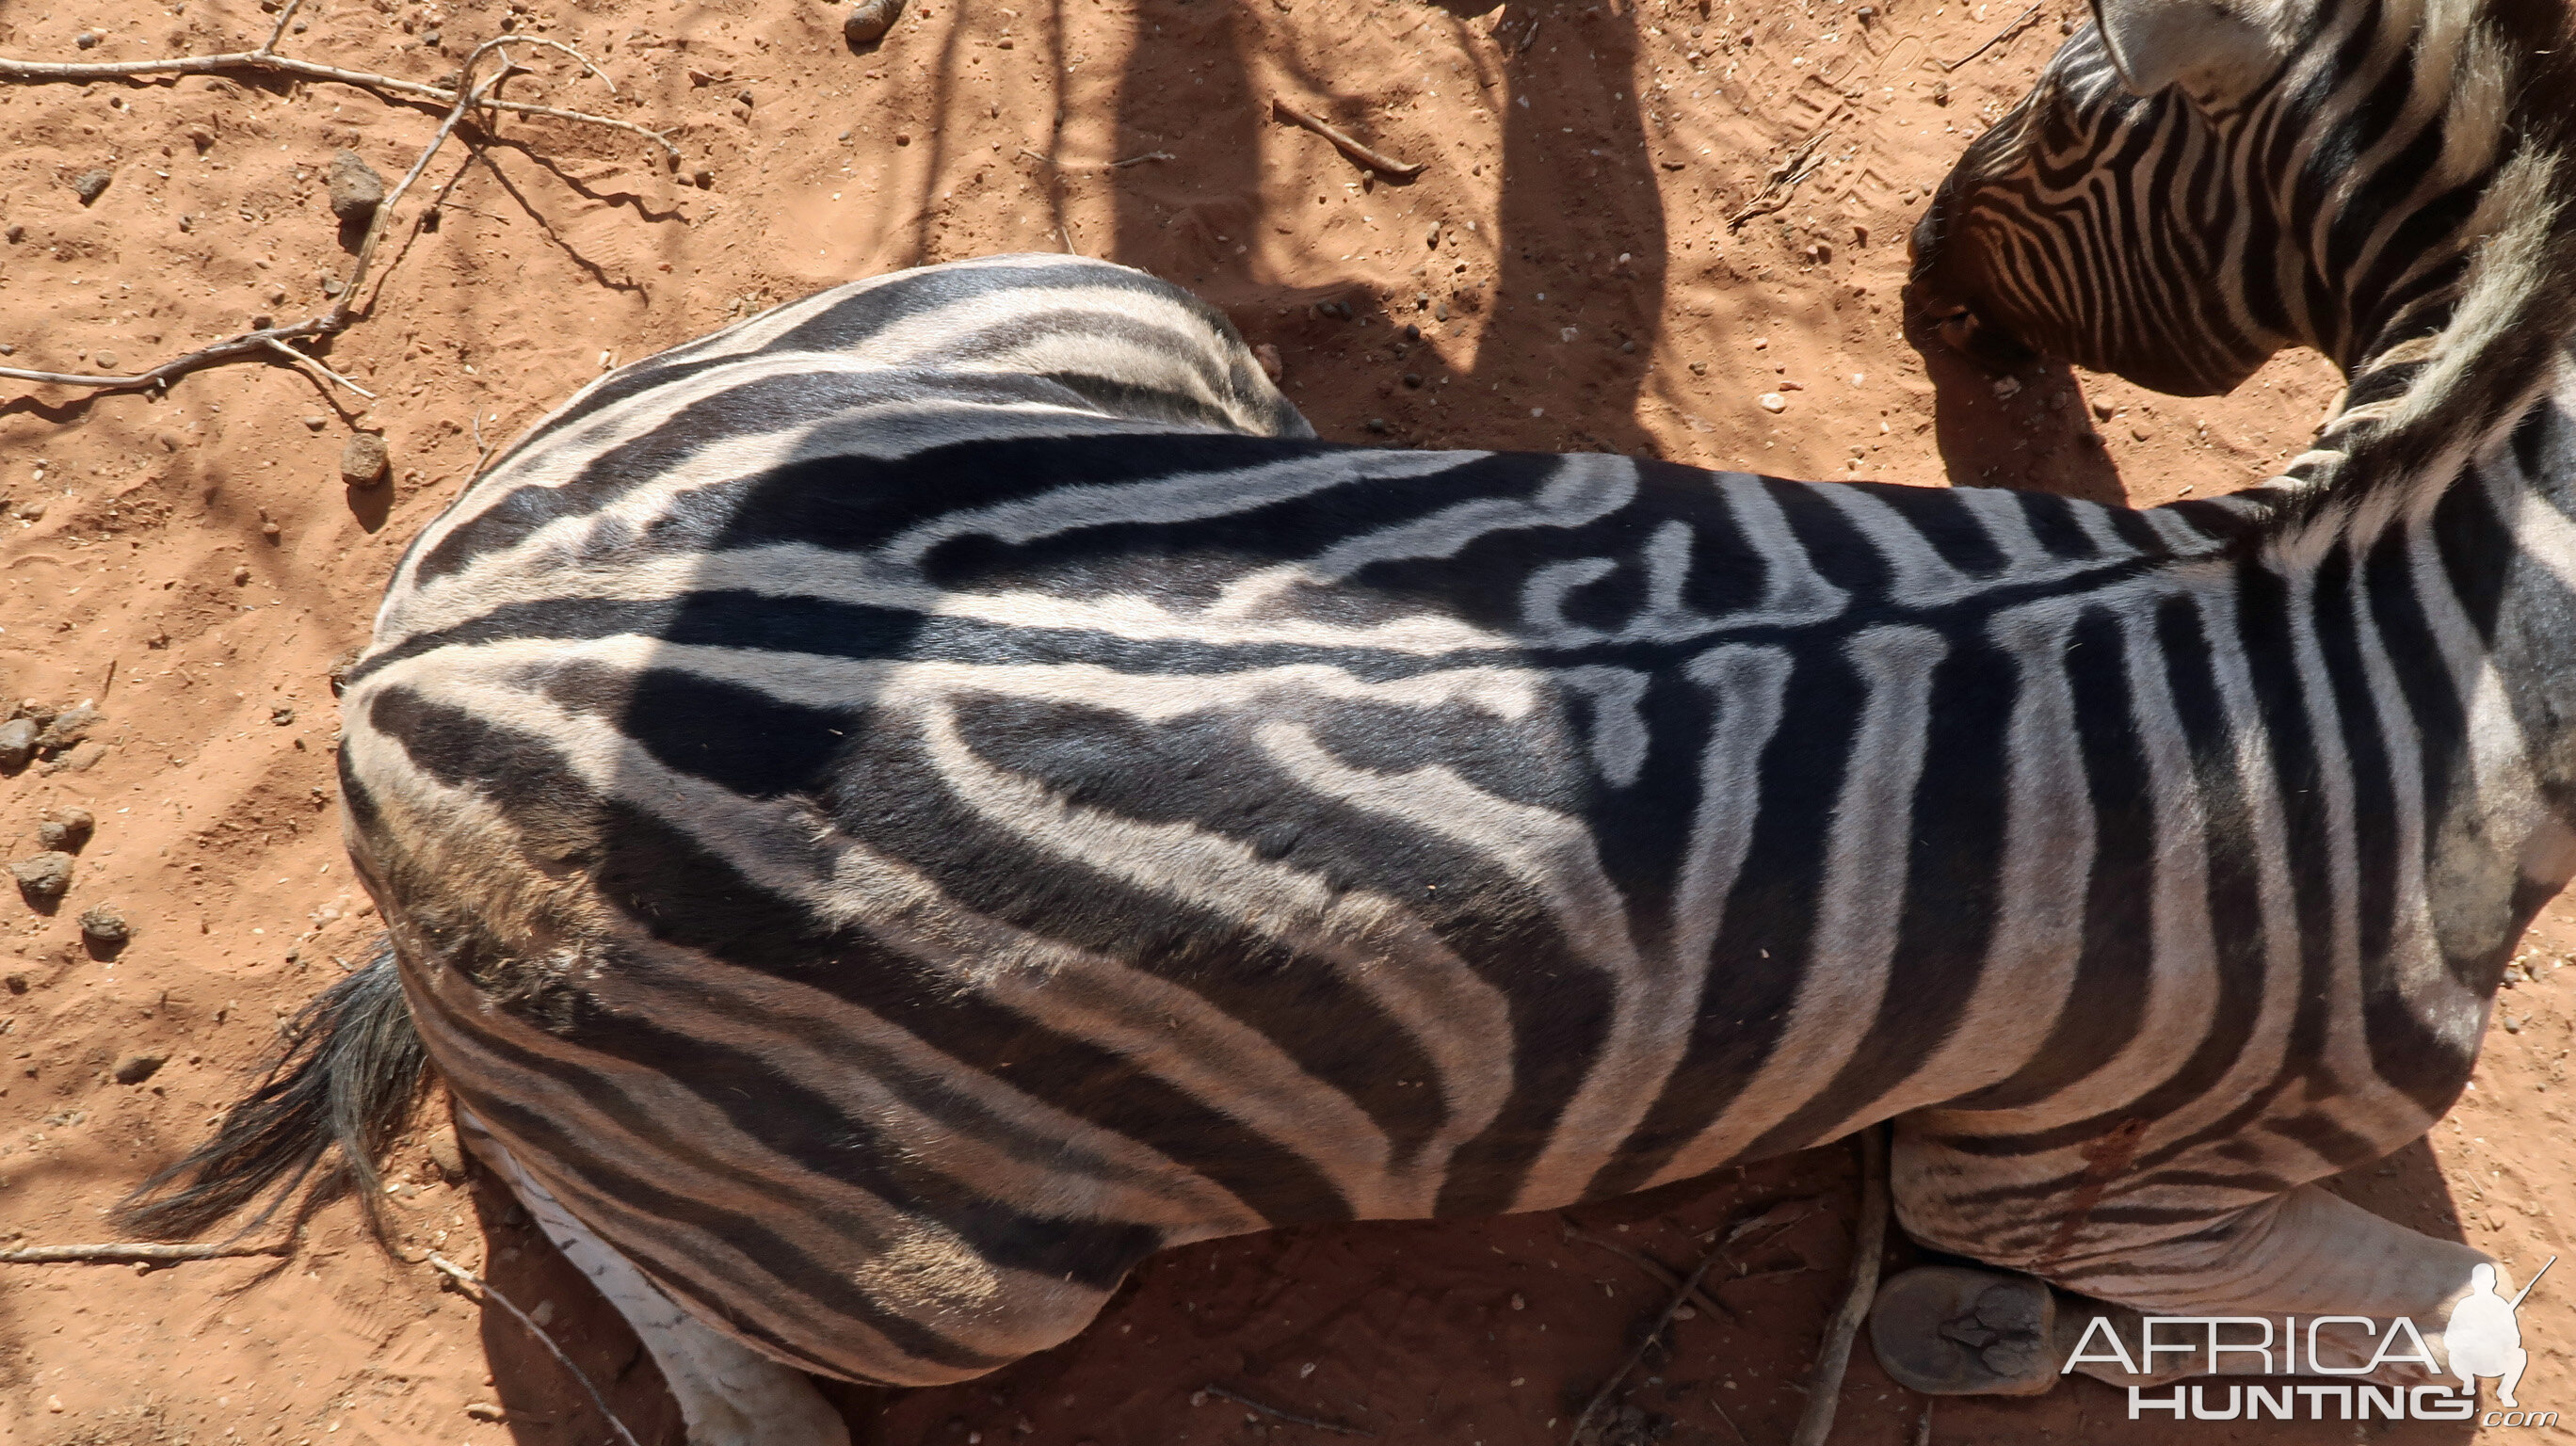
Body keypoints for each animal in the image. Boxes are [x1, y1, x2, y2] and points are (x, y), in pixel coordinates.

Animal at [125, 0, 2576, 1433]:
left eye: (2068, 120)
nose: (1922, 288)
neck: (2412, 610)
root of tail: (407, 662)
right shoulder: (2091, 1163)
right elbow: (2475, 1321)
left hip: (1116, 321)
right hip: (948, 1269)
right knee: (566, 1183)